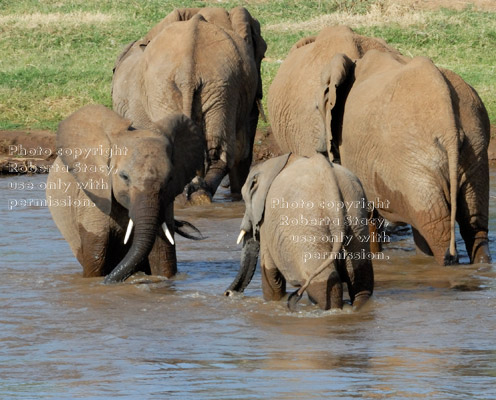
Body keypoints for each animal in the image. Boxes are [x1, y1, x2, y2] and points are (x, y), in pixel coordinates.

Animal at [45, 104, 203, 282]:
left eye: (170, 178)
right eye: (124, 176)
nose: (108, 282)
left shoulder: (167, 200)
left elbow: (163, 257)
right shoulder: (93, 196)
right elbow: (95, 257)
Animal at [112, 7, 268, 203]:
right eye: (262, 53)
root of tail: (188, 69)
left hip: (212, 86)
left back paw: (196, 194)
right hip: (198, 86)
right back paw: (197, 193)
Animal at [225, 152, 372, 310]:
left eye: (245, 199)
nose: (228, 293)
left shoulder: (266, 221)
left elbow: (271, 274)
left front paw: (275, 301)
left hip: (308, 229)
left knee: (324, 283)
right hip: (356, 217)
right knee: (361, 283)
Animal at [266, 26, 490, 268]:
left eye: (318, 106)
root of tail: (447, 121)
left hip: (410, 161)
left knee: (436, 230)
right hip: (473, 148)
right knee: (473, 225)